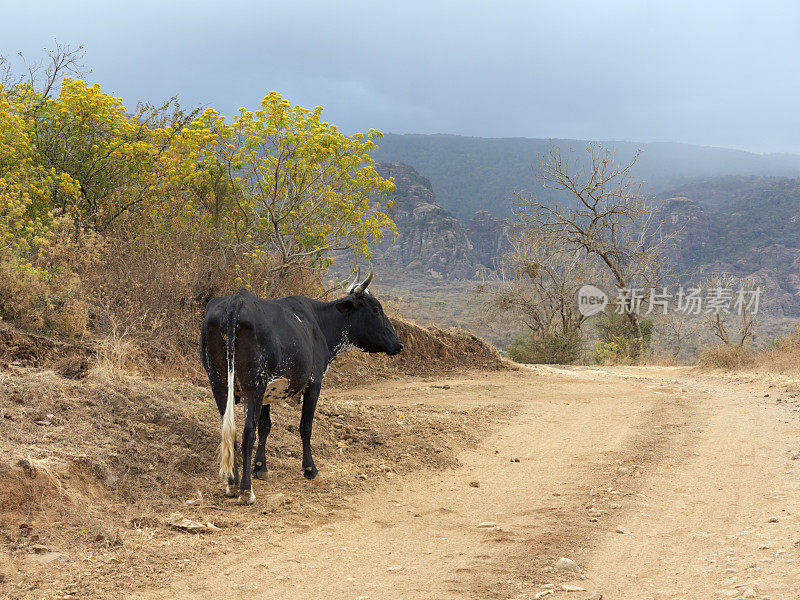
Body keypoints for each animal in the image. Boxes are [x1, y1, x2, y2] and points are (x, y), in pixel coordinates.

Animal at [198, 270, 404, 504]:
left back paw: (232, 483)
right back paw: (245, 489)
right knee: (247, 432)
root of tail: (236, 301)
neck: (319, 324)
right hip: (253, 385)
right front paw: (310, 469)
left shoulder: (268, 392)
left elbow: (266, 426)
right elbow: (305, 427)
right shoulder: (314, 383)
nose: (399, 344)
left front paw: (261, 467)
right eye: (376, 309)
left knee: (229, 429)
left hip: (219, 383)